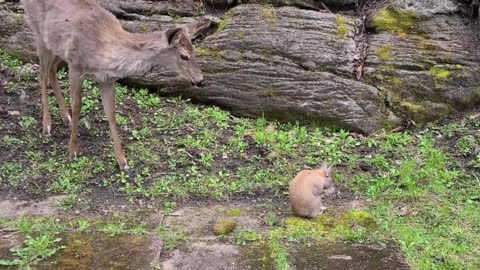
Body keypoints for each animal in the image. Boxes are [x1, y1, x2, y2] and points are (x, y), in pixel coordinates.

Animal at [20, 0, 212, 173]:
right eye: (184, 55)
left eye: (195, 51)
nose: (200, 80)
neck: (104, 51)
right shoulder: (75, 66)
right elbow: (77, 106)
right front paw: (72, 150)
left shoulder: (107, 79)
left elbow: (111, 113)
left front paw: (123, 162)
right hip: (38, 32)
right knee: (42, 73)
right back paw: (47, 125)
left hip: (56, 46)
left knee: (51, 69)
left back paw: (64, 117)